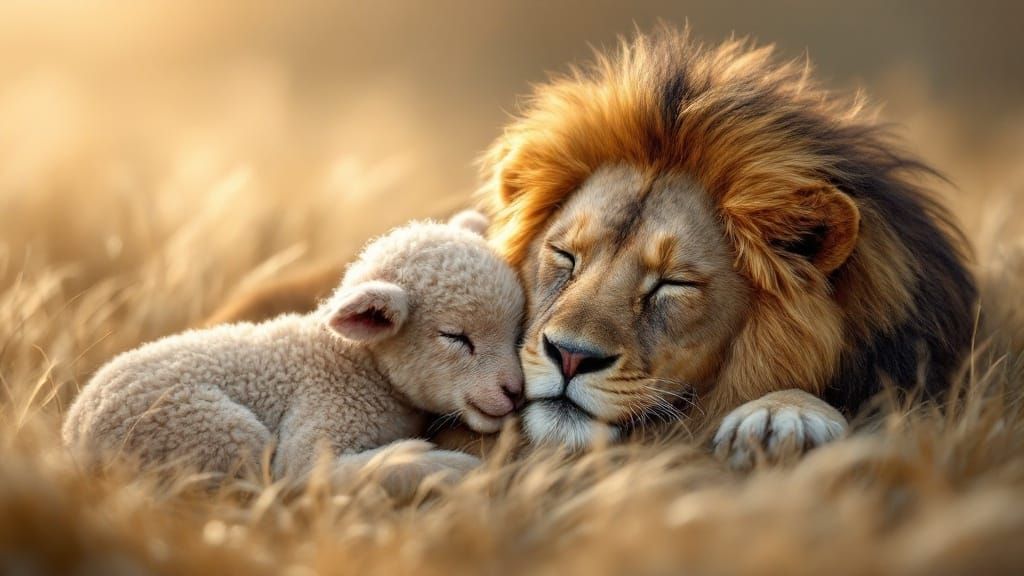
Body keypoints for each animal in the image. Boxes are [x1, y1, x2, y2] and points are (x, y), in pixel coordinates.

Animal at [62, 213, 525, 485]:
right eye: (455, 336)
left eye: (518, 327)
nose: (515, 391)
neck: (354, 362)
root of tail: (74, 435)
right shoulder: (320, 419)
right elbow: (315, 473)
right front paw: (449, 467)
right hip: (214, 430)